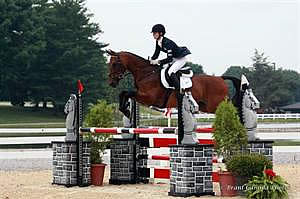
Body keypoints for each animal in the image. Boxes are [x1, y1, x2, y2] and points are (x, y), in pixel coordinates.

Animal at [105, 49, 241, 117]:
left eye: (115, 64)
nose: (111, 82)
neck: (147, 74)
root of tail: (221, 78)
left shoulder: (149, 98)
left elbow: (127, 93)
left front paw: (126, 111)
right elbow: (123, 93)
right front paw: (125, 110)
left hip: (215, 105)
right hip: (205, 106)